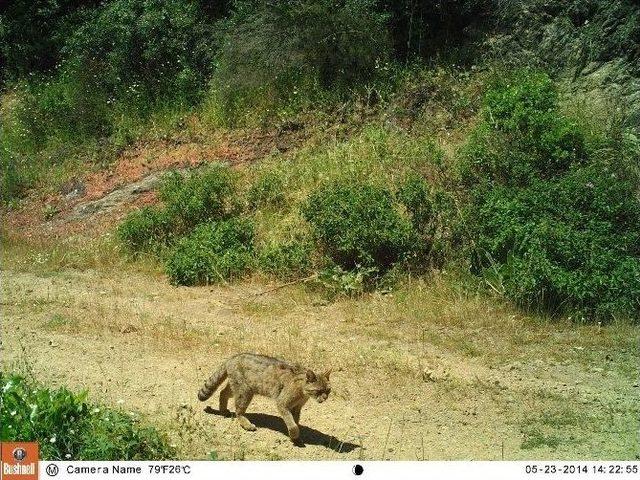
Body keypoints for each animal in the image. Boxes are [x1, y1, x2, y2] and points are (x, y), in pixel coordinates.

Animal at [198, 352, 332, 442]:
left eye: (328, 390)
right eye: (318, 391)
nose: (325, 397)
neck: (303, 393)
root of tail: (234, 356)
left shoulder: (296, 408)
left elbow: (295, 421)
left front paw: (295, 436)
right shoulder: (282, 403)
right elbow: (292, 423)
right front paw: (294, 434)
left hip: (237, 388)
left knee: (222, 393)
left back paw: (223, 410)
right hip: (244, 392)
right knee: (238, 412)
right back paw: (246, 424)